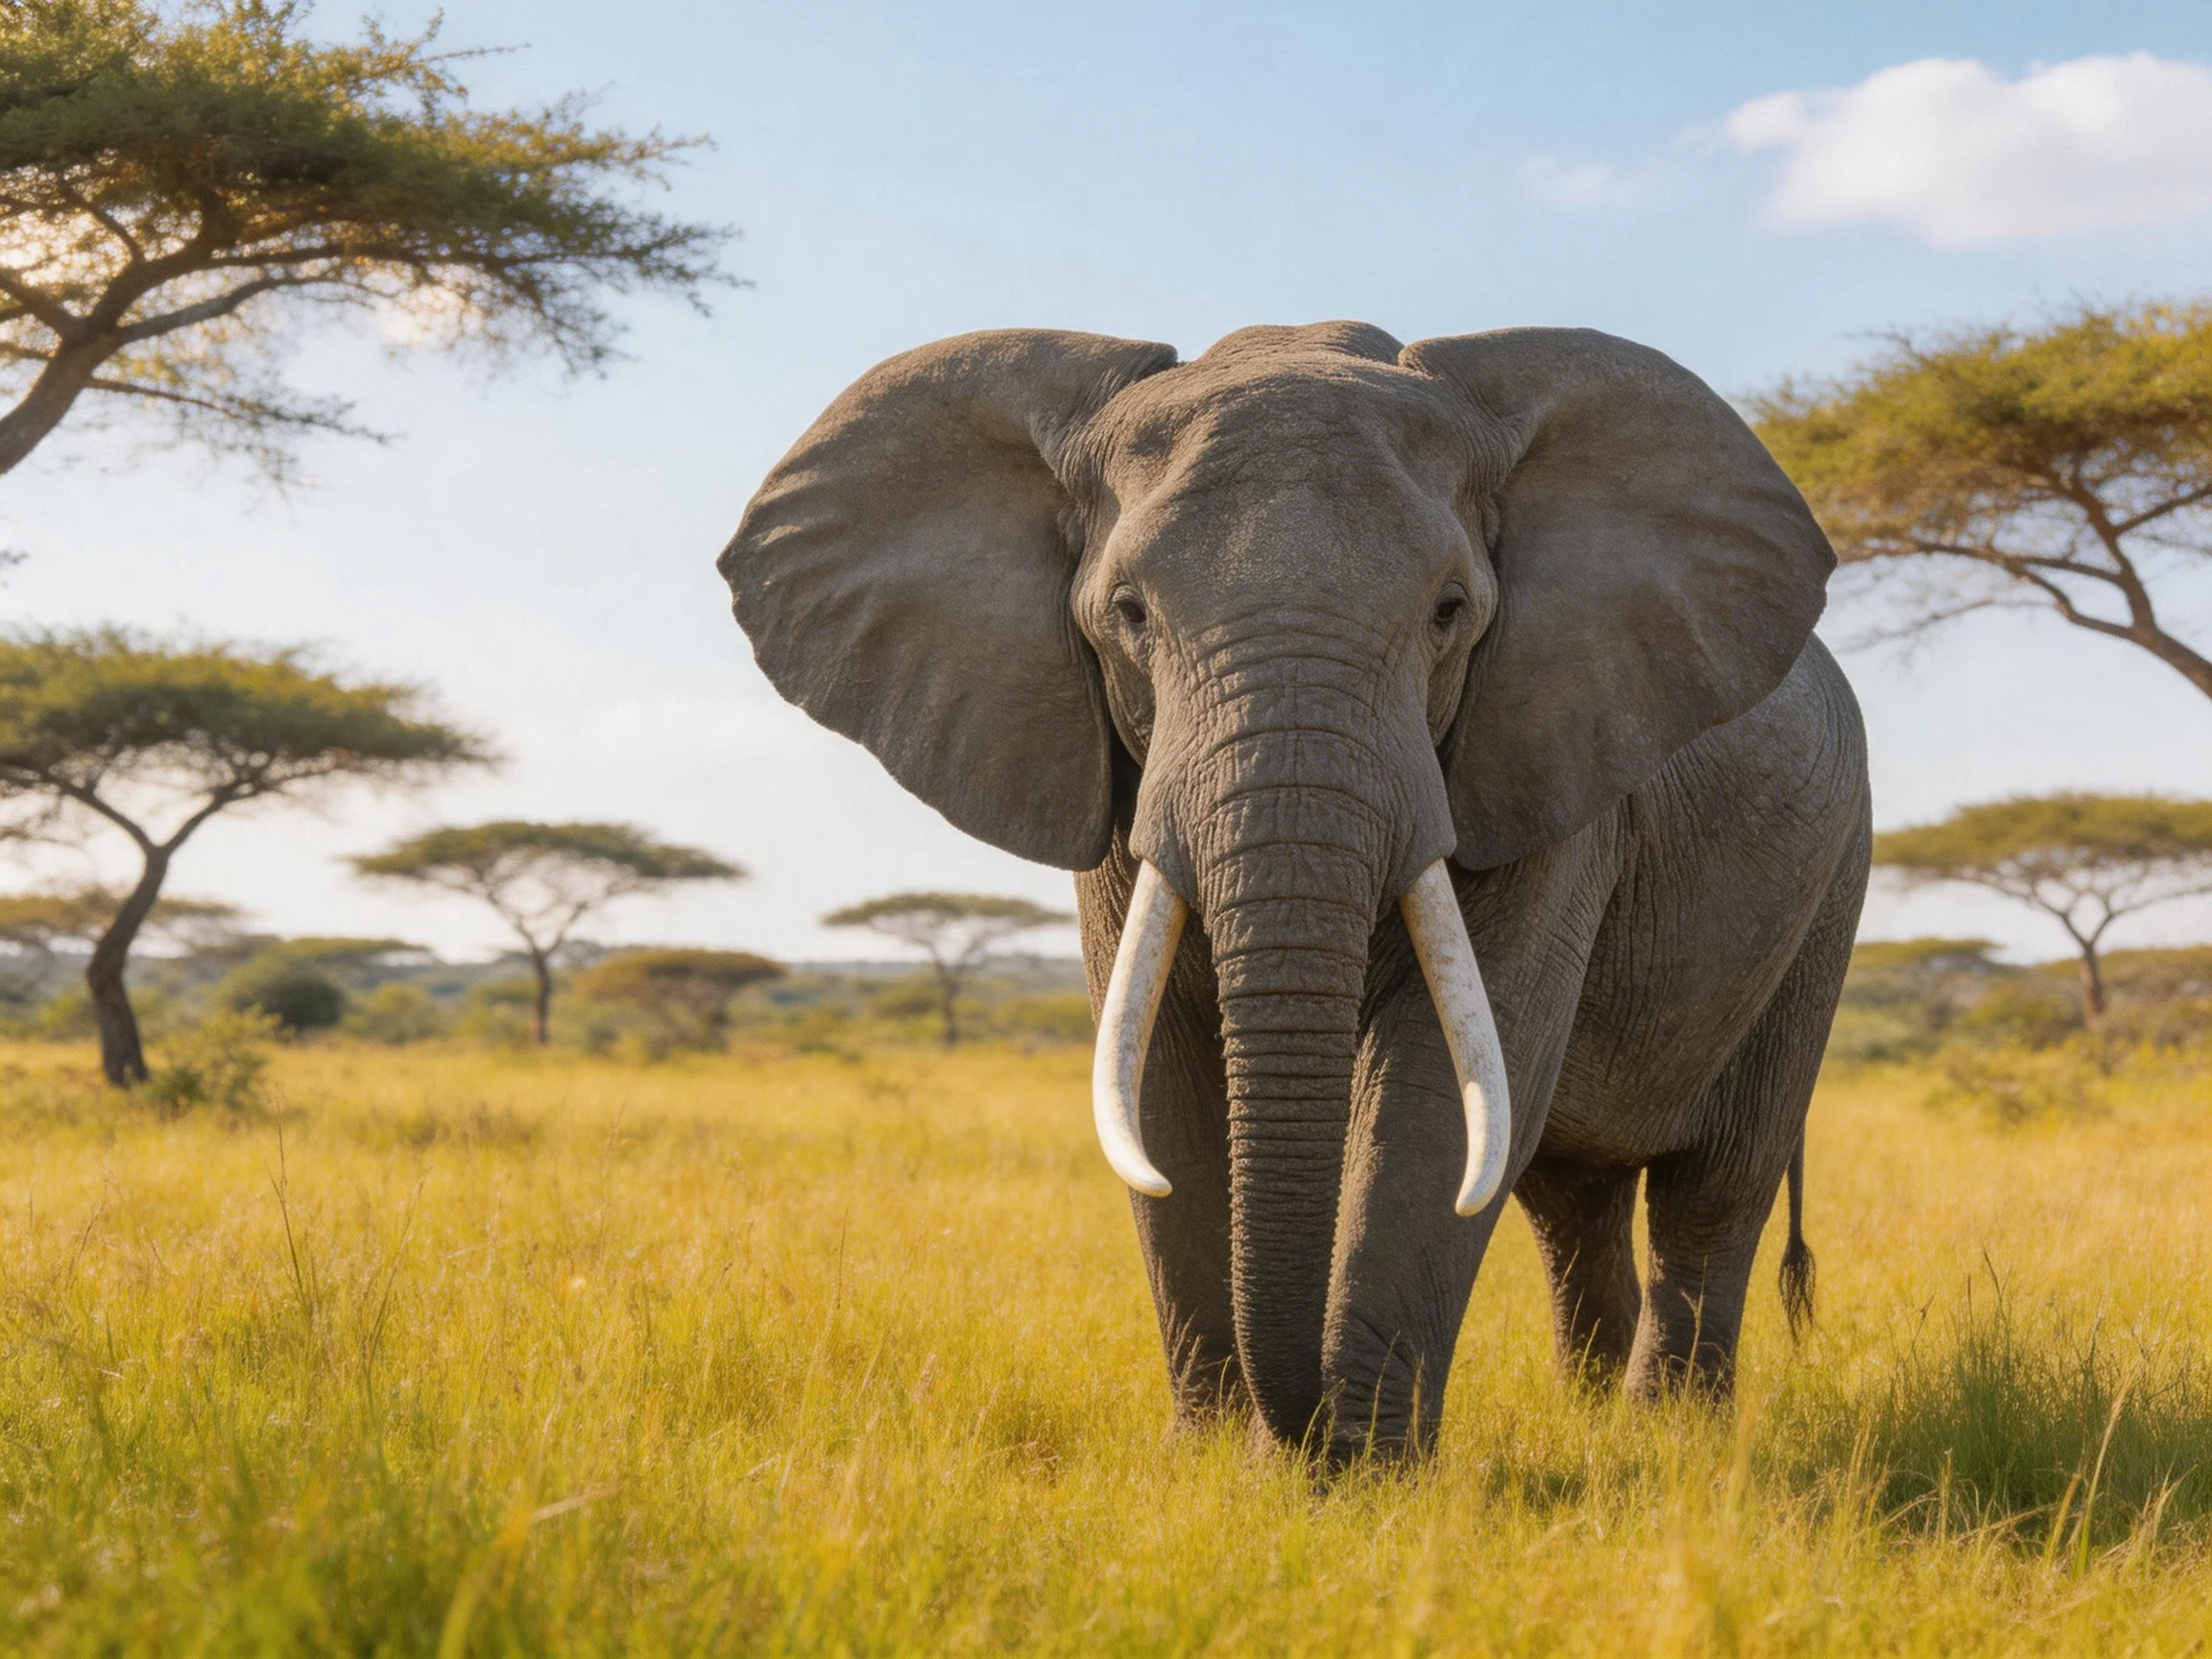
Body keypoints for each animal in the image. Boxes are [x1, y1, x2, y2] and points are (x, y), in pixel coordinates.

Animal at [718, 321, 1871, 1465]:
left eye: (1450, 611)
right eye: (1128, 613)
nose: (1303, 1426)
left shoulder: (1543, 766)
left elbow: (1440, 1084)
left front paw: (1360, 1476)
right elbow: (1162, 1072)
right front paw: (1218, 1467)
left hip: (1831, 881)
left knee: (1715, 1186)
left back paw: (1676, 1440)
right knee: (1567, 1195)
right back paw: (1592, 1419)